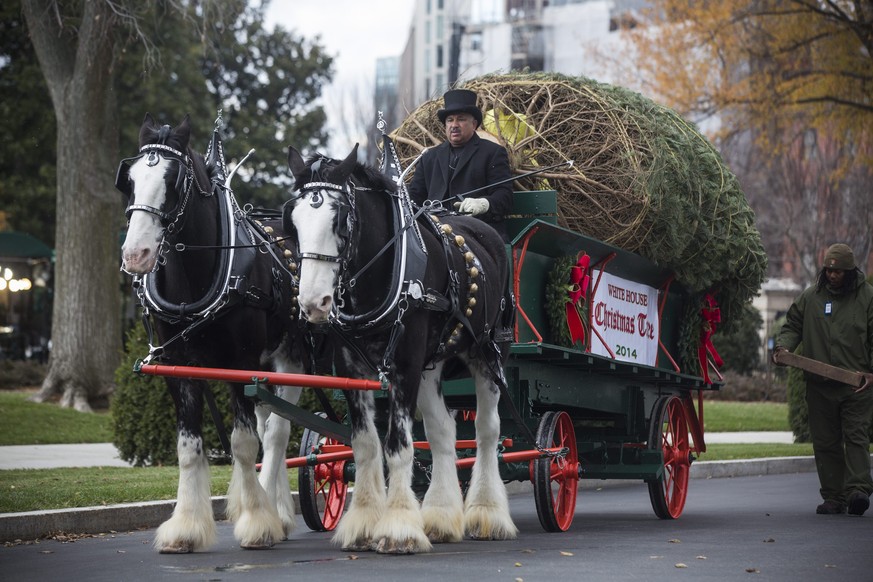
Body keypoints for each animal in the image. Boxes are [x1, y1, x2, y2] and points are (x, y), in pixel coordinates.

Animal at [119, 115, 304, 556]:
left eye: (172, 181)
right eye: (129, 180)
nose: (135, 255)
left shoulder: (239, 363)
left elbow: (243, 444)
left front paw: (256, 521)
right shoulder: (179, 368)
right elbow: (189, 448)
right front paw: (185, 527)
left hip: (292, 357)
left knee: (278, 433)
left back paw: (273, 511)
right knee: (271, 423)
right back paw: (279, 510)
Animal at [282, 144, 516, 556]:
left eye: (339, 221)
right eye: (292, 223)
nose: (312, 302)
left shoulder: (405, 366)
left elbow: (398, 446)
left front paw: (398, 529)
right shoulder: (353, 370)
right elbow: (365, 445)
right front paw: (363, 524)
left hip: (488, 352)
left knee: (488, 431)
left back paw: (488, 514)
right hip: (432, 365)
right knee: (443, 430)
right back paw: (440, 517)